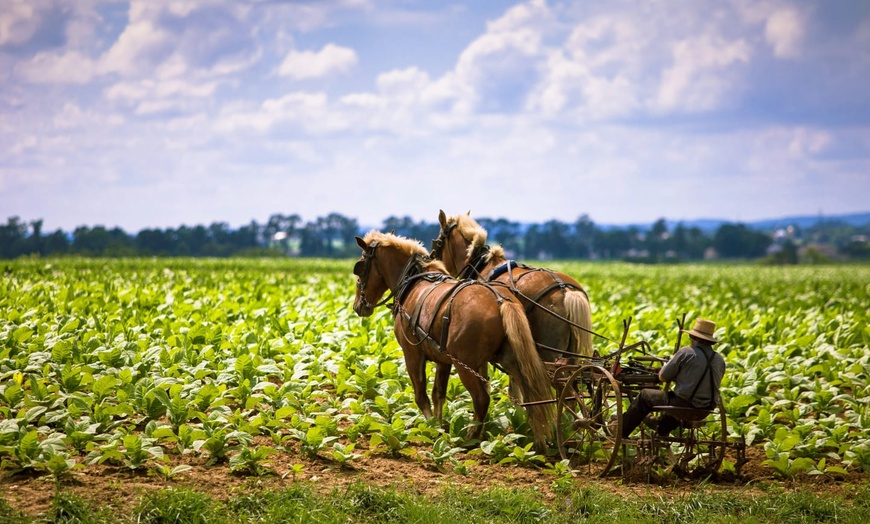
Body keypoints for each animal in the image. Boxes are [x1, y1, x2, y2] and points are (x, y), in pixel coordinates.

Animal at [352, 229, 552, 450]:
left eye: (360, 269)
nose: (358, 306)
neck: (413, 281)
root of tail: (501, 300)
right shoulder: (442, 359)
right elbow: (438, 394)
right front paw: (439, 428)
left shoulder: (412, 353)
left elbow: (421, 396)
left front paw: (431, 427)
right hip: (511, 361)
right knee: (530, 397)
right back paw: (538, 441)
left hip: (466, 365)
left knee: (482, 399)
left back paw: (470, 438)